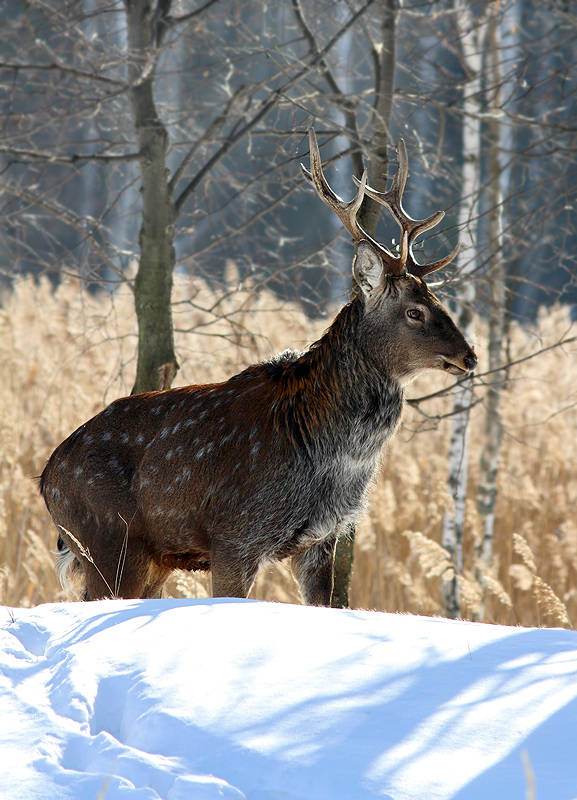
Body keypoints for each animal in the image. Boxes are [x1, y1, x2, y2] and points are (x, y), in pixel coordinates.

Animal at [39, 128, 472, 608]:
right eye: (415, 311)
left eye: (438, 299)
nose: (469, 356)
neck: (331, 457)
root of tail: (47, 476)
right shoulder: (234, 534)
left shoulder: (324, 537)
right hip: (105, 537)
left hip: (152, 557)